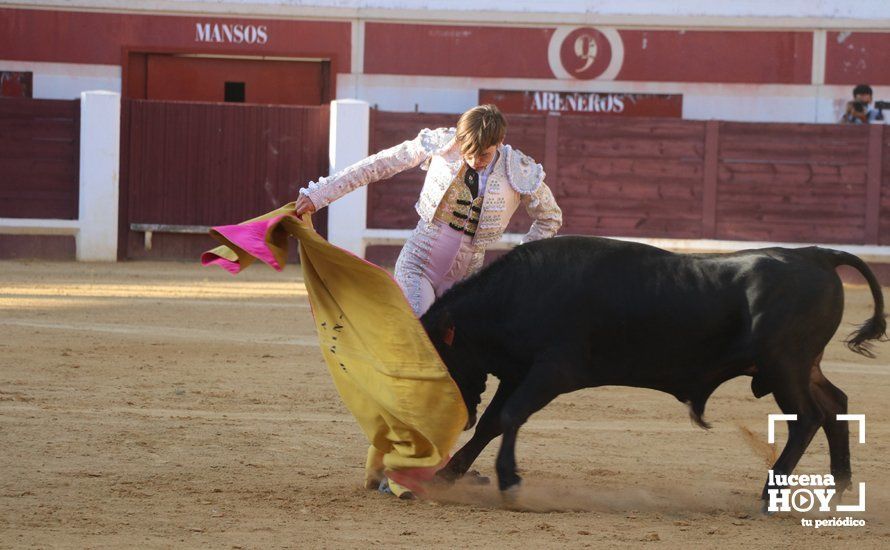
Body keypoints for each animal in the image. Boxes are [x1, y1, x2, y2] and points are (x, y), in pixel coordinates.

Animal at [420, 237, 884, 504]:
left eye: (436, 362)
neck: (520, 292)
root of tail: (817, 255)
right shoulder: (518, 373)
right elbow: (495, 421)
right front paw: (447, 474)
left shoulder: (553, 370)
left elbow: (512, 415)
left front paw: (509, 479)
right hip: (802, 367)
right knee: (835, 406)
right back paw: (839, 488)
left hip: (784, 364)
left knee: (806, 418)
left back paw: (771, 494)